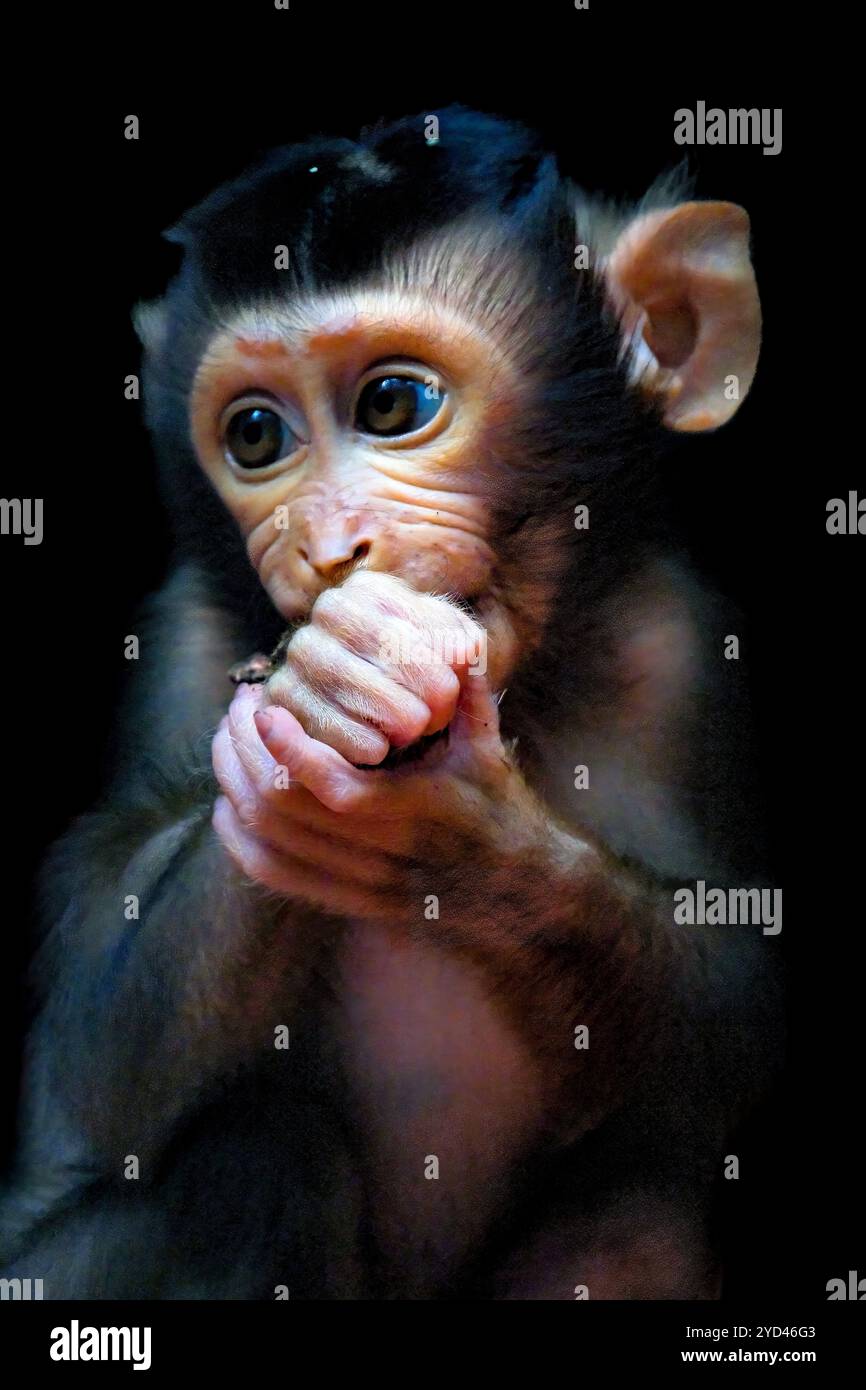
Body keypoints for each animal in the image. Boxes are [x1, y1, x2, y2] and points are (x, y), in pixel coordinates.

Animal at [1, 107, 779, 1300]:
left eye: (392, 405)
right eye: (256, 436)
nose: (328, 551)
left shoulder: (680, 644)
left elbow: (725, 1011)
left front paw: (466, 837)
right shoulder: (180, 640)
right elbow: (98, 1059)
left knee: (633, 1216)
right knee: (256, 1160)